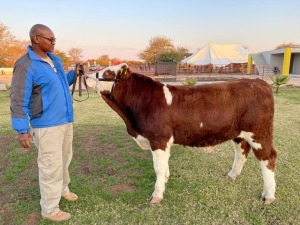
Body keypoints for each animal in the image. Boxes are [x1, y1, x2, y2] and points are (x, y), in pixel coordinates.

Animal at [84, 62, 276, 204]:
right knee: (242, 151)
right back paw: (232, 175)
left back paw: (268, 196)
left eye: (108, 72)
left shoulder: (159, 138)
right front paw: (165, 181)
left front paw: (157, 195)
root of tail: (259, 82)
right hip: (239, 133)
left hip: (259, 132)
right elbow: (164, 166)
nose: (85, 76)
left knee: (268, 158)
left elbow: (158, 168)